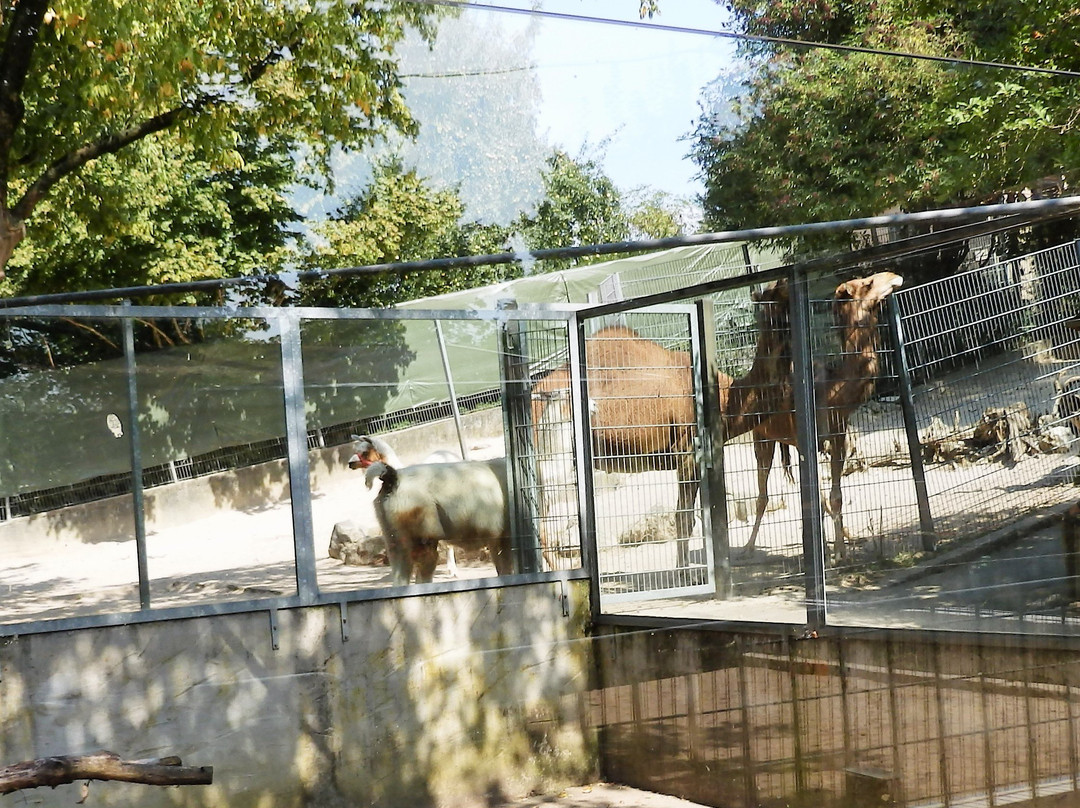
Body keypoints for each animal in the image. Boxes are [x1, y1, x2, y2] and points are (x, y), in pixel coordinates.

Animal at [533, 278, 794, 566]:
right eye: (774, 291)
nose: (787, 281)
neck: (724, 398)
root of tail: (535, 391)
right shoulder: (687, 452)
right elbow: (684, 520)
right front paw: (684, 571)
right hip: (555, 458)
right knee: (543, 527)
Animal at [743, 267, 902, 557]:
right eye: (868, 283)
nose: (893, 275)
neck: (833, 391)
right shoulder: (808, 442)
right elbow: (817, 498)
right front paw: (830, 551)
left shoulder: (838, 440)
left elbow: (834, 497)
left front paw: (841, 550)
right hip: (762, 437)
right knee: (763, 493)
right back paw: (748, 547)